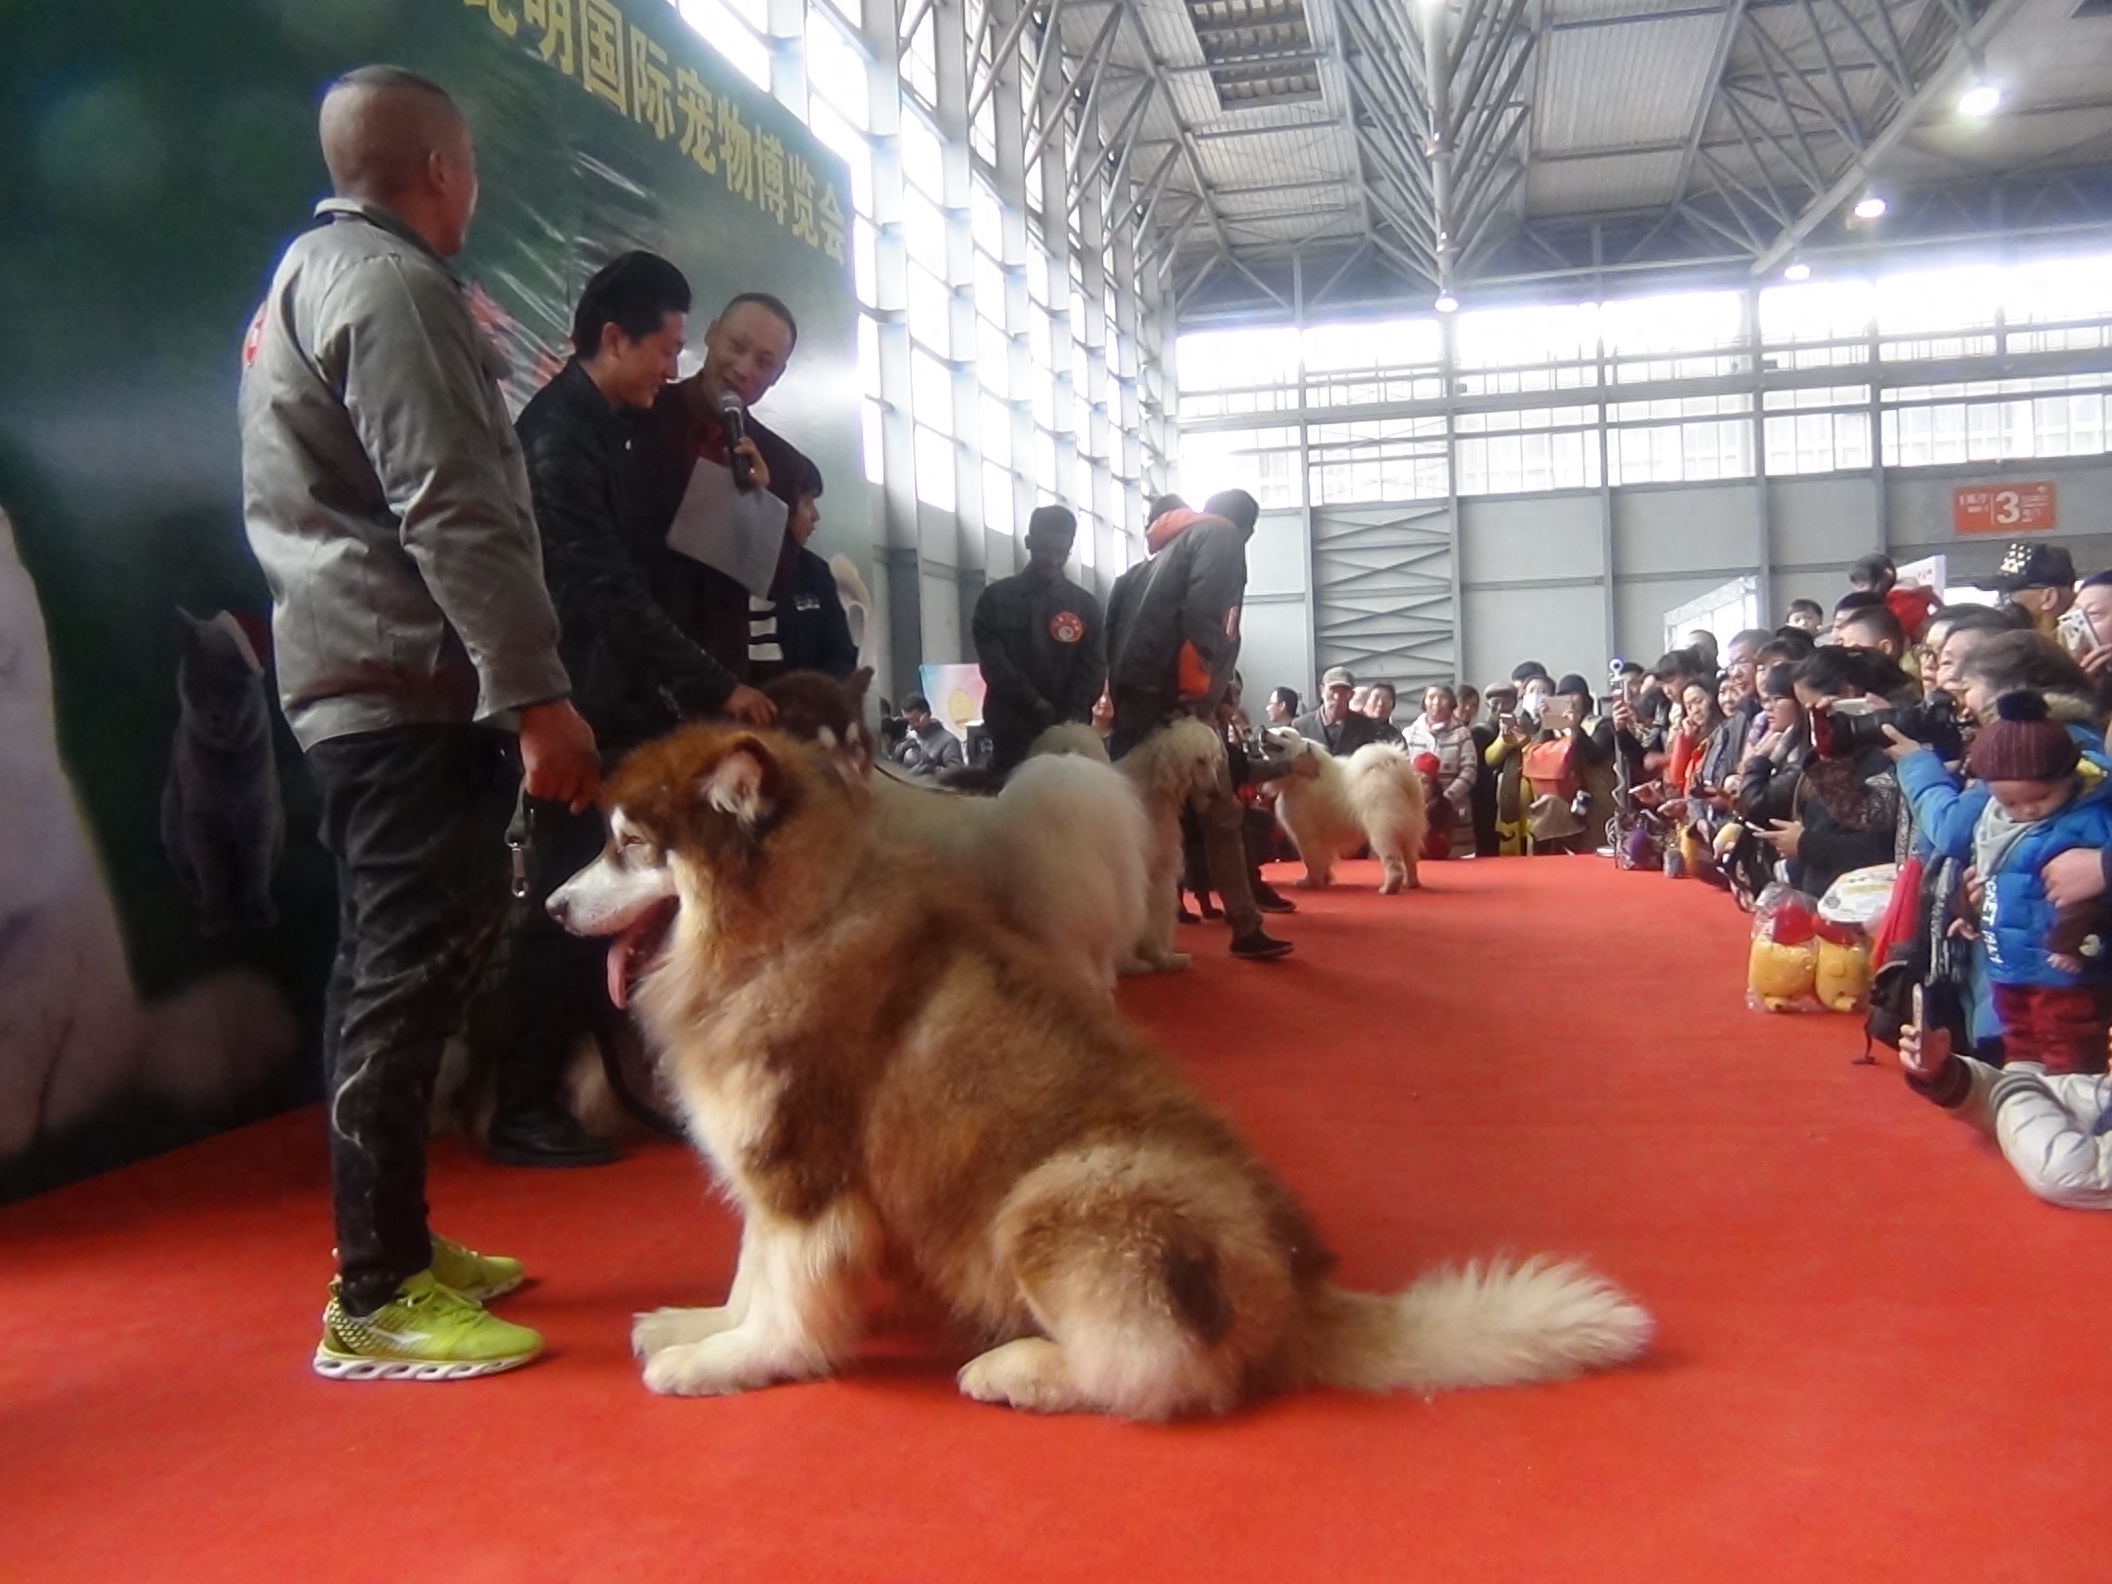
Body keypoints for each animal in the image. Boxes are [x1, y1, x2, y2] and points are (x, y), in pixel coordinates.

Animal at [1258, 730, 1427, 895]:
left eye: (1283, 735)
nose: (1263, 730)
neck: (1301, 777)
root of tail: (1392, 766)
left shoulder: (1306, 836)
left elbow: (1311, 862)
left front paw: (1310, 883)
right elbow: (1322, 861)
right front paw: (1324, 880)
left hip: (1382, 832)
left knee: (1393, 864)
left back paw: (1388, 888)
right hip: (1409, 830)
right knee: (1410, 860)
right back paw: (1411, 883)